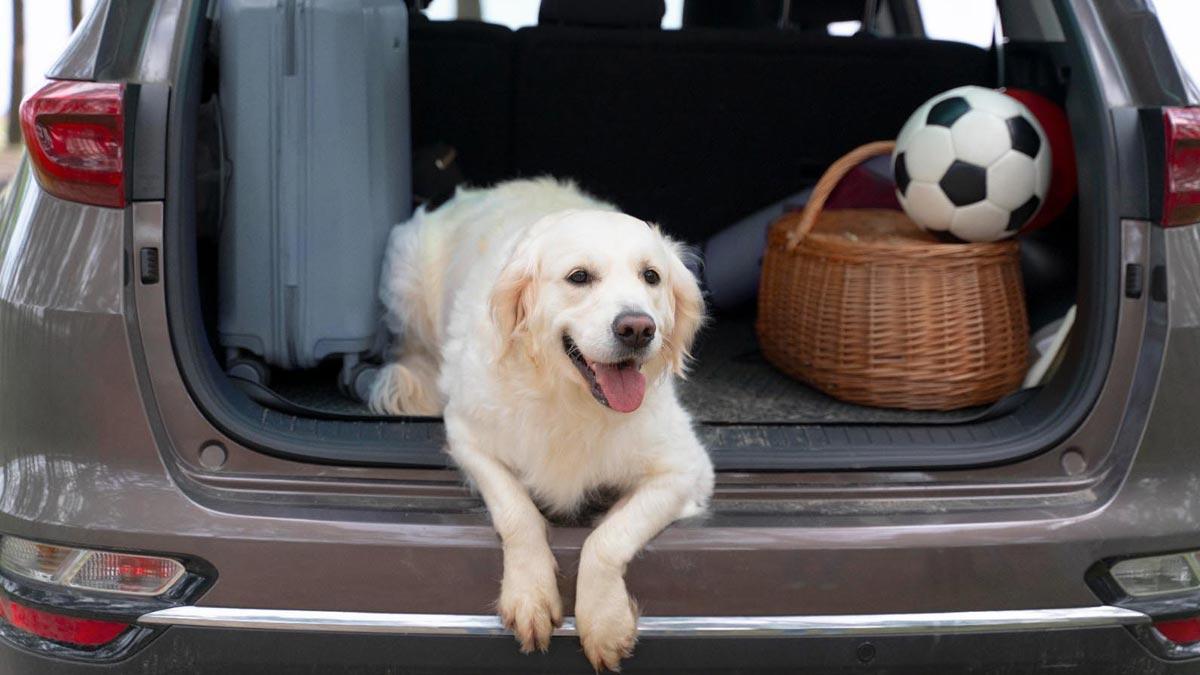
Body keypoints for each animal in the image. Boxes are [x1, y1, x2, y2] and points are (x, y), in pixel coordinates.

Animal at [369, 177, 715, 667]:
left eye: (651, 276)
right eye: (579, 277)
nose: (638, 328)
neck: (570, 400)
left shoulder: (687, 468)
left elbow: (607, 537)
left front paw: (604, 620)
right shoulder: (467, 436)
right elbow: (518, 511)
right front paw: (530, 595)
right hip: (406, 271)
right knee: (412, 349)